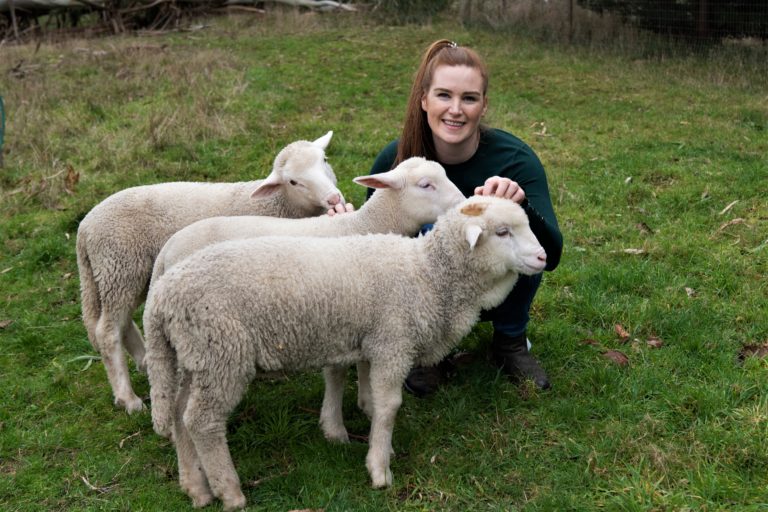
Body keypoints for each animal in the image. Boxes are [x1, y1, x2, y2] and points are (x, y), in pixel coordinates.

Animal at [76, 131, 343, 414]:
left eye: (325, 160)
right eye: (293, 181)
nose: (334, 199)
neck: (279, 204)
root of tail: (84, 227)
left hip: (127, 275)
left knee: (123, 323)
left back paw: (145, 362)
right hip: (119, 267)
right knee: (107, 331)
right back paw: (127, 397)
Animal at [143, 196, 547, 510]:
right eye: (502, 232)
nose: (543, 257)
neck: (427, 275)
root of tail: (162, 296)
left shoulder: (371, 342)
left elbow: (365, 392)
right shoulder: (393, 343)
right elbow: (389, 406)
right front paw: (380, 469)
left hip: (195, 357)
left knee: (178, 414)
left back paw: (196, 487)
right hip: (221, 354)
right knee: (202, 422)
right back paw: (230, 492)